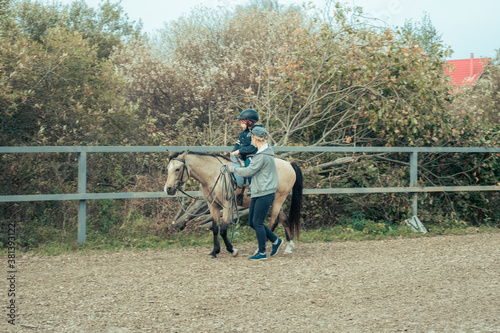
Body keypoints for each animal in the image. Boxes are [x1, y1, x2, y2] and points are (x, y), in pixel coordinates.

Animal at [166, 149, 302, 258]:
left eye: (177, 169)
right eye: (168, 169)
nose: (168, 189)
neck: (214, 173)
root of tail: (289, 164)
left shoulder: (227, 205)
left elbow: (223, 230)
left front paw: (232, 250)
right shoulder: (213, 205)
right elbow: (215, 228)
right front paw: (214, 252)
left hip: (278, 199)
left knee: (273, 222)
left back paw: (262, 248)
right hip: (276, 201)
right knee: (284, 220)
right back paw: (288, 247)